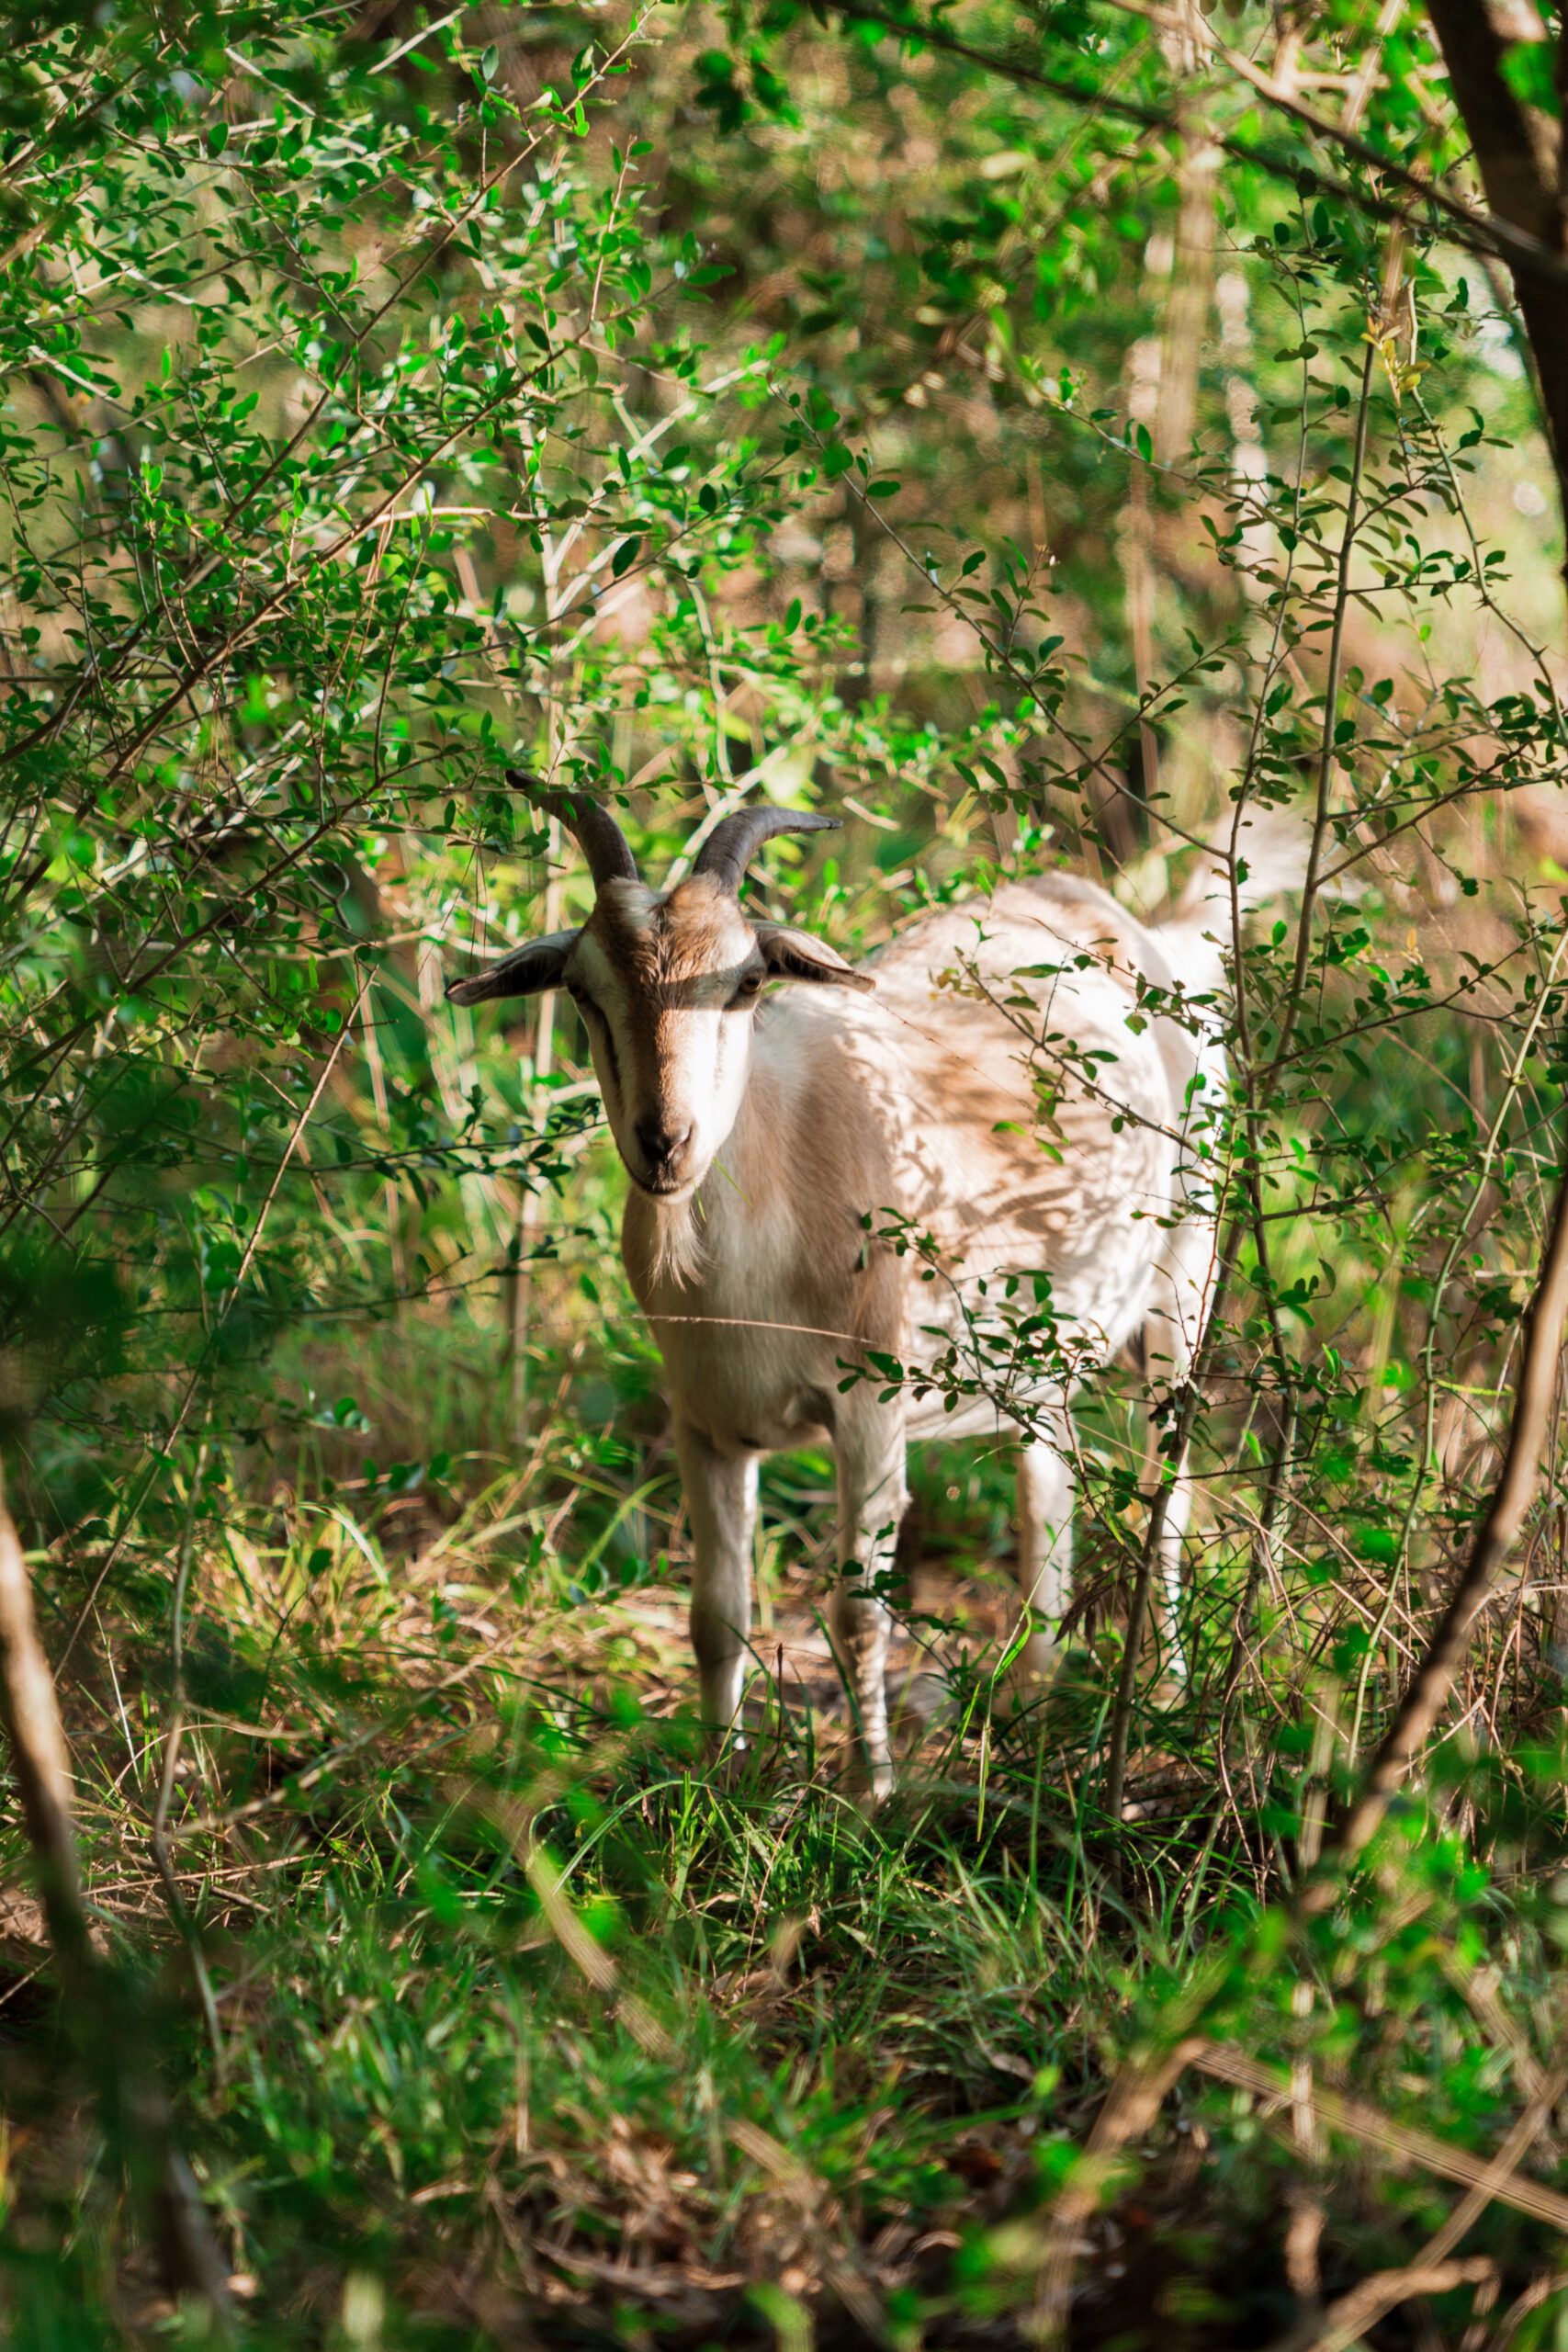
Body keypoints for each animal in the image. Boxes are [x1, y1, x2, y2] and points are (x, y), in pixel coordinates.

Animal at [448, 776, 1295, 1794]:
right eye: (581, 987)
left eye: (746, 981)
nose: (665, 1144)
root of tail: (1146, 932)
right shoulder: (704, 1421)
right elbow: (714, 1615)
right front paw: (715, 1781)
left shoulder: (868, 1409)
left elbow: (858, 1613)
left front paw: (869, 1790)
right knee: (1043, 1479)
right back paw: (1038, 1691)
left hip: (1186, 1263)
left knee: (1168, 1489)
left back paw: (1160, 1695)